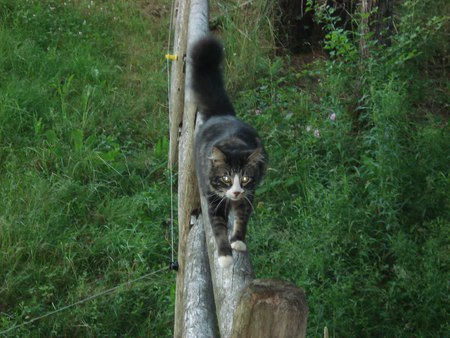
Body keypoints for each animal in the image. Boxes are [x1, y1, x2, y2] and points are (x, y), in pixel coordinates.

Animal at [191, 36, 268, 270]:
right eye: (225, 178)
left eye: (244, 178)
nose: (234, 192)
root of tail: (221, 114)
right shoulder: (214, 201)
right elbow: (218, 229)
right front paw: (225, 255)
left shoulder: (248, 196)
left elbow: (242, 220)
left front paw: (239, 241)